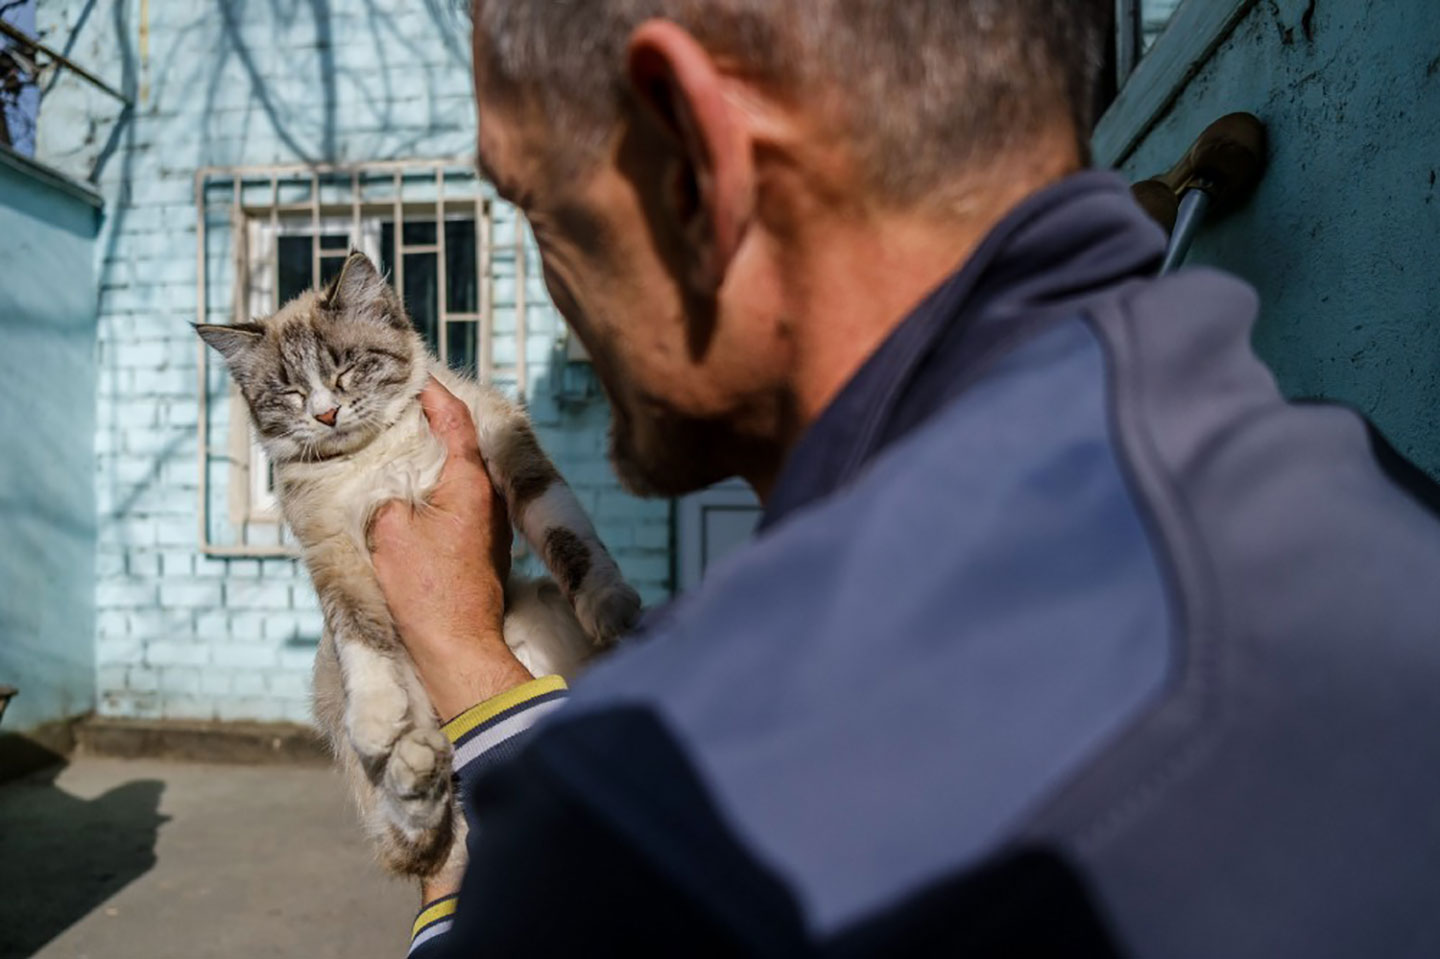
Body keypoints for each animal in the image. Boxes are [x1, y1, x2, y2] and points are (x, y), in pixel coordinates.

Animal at [195, 250, 636, 875]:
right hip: (335, 690)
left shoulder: (501, 436)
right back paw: (415, 766)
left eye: (347, 368)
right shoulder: (331, 545)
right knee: (415, 842)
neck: (377, 452)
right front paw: (379, 716)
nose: (326, 415)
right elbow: (357, 628)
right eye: (290, 393)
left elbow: (562, 526)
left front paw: (606, 600)